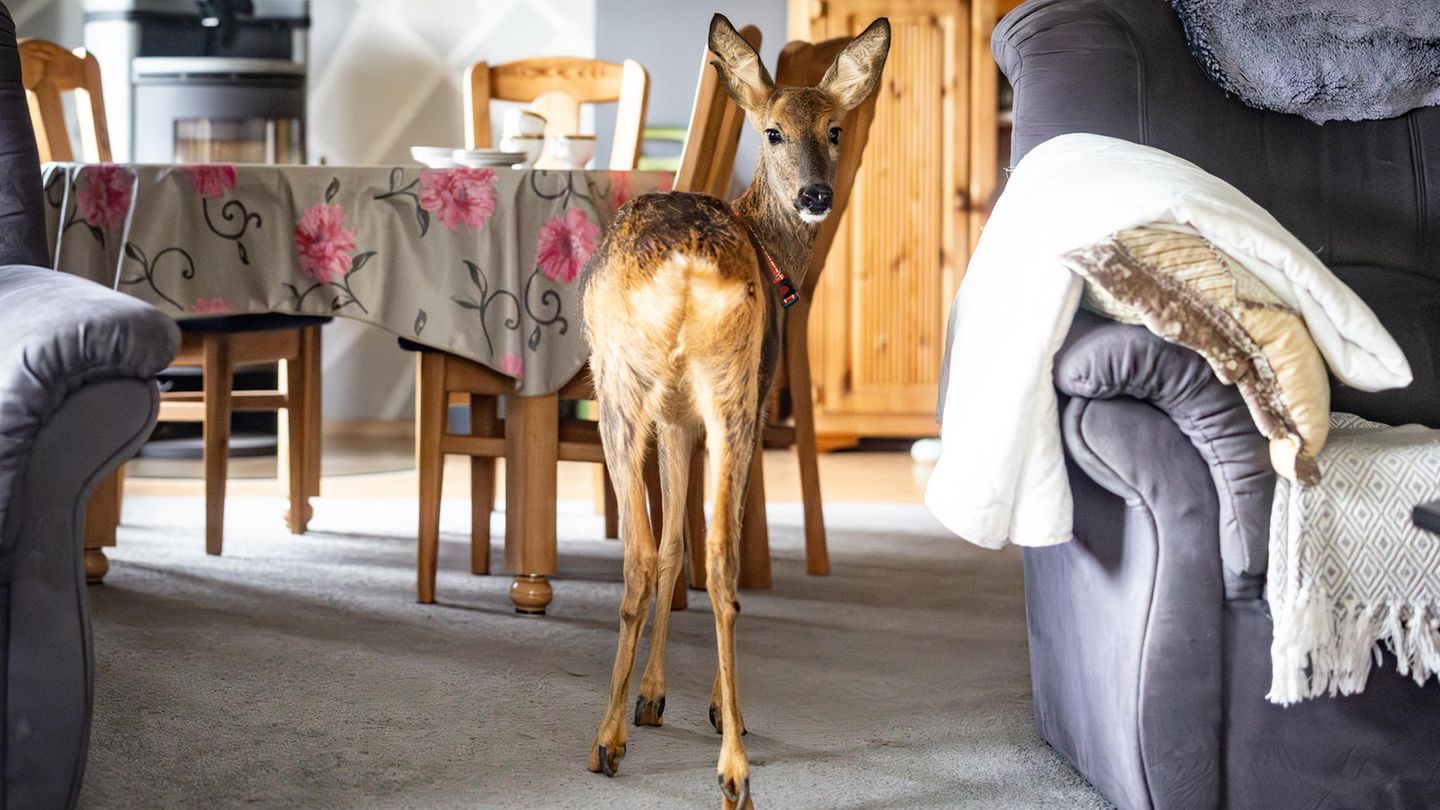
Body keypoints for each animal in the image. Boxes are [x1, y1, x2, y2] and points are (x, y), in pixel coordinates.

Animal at [581, 14, 887, 807]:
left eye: (836, 129)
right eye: (772, 131)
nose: (816, 193)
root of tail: (689, 266)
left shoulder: (677, 419)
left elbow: (670, 549)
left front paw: (654, 697)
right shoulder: (699, 414)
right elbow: (688, 547)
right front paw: (685, 700)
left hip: (636, 391)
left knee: (646, 554)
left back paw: (617, 739)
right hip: (727, 394)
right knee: (715, 559)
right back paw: (726, 759)